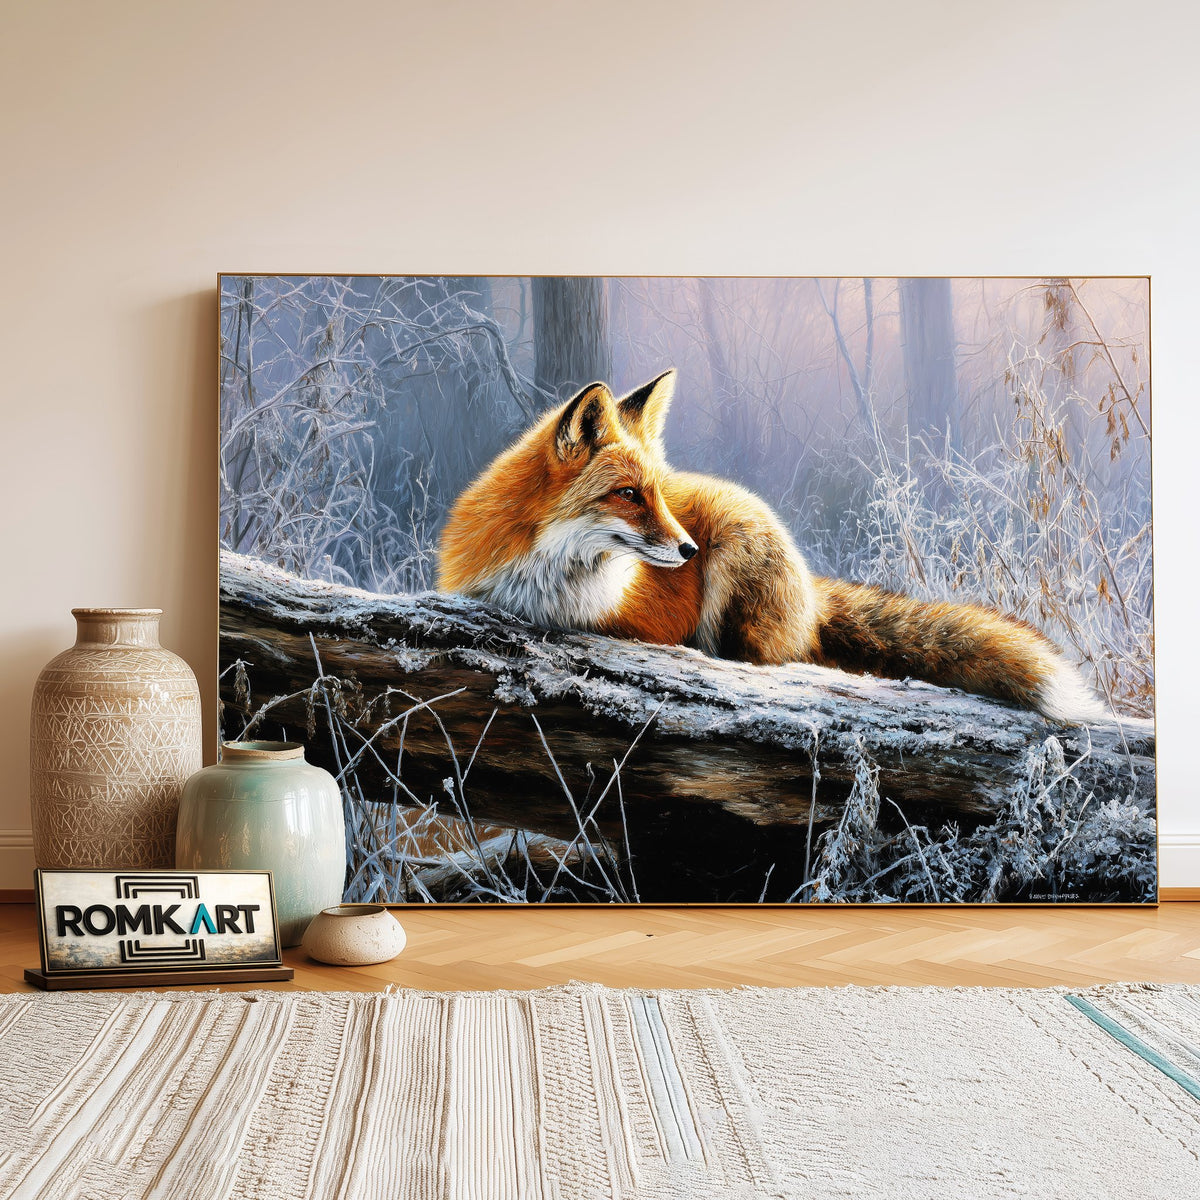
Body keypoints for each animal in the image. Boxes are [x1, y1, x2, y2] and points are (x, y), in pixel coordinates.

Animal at [436, 369, 1107, 724]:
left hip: (736, 569)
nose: (688, 550)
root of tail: (810, 590)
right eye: (628, 494)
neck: (544, 579)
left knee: (769, 660)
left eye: (659, 494)